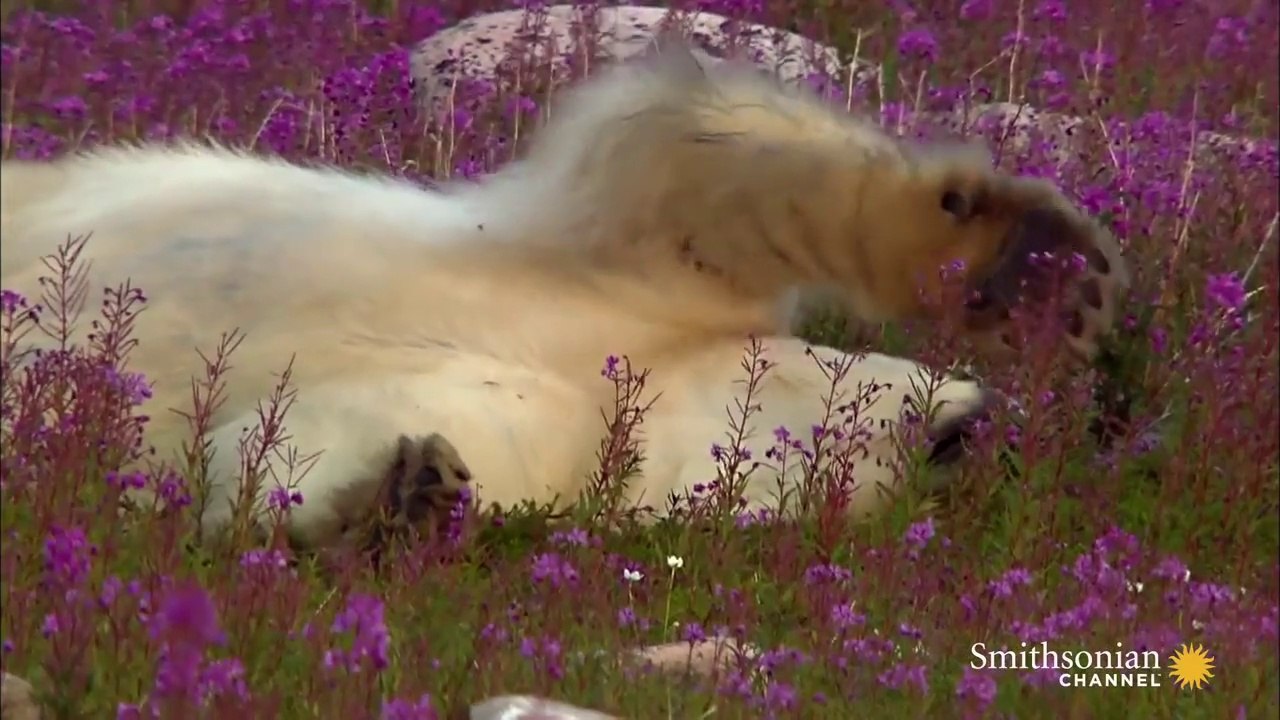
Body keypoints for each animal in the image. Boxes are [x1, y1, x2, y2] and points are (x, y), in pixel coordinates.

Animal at [0, 44, 1128, 551]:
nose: (982, 439)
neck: (635, 371)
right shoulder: (621, 269)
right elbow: (698, 161)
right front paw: (1033, 266)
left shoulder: (556, 442)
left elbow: (273, 456)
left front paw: (405, 491)